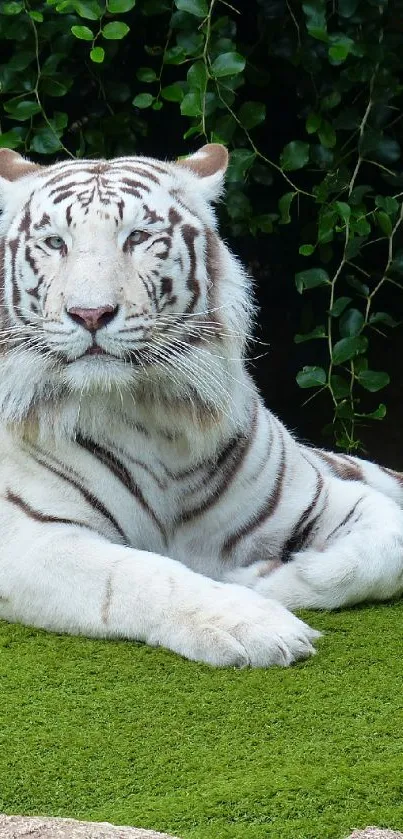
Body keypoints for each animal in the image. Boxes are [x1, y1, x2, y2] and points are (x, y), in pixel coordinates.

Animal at [0, 144, 402, 668]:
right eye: (54, 243)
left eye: (137, 237)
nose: (90, 314)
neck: (152, 415)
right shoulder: (29, 536)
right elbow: (141, 574)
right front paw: (254, 623)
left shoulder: (320, 495)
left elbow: (382, 551)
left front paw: (260, 578)